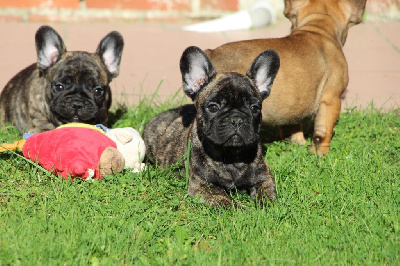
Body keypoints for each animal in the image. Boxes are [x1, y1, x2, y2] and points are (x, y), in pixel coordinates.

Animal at [142, 46, 280, 208]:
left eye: (254, 108)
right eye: (213, 107)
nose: (237, 119)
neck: (230, 156)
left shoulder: (264, 178)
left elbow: (267, 194)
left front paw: (268, 208)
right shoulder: (202, 186)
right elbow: (225, 201)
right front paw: (242, 209)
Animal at [205, 0, 368, 156]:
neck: (318, 28)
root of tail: (210, 53)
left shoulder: (291, 106)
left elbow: (292, 127)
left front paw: (297, 144)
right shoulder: (331, 100)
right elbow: (322, 133)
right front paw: (320, 155)